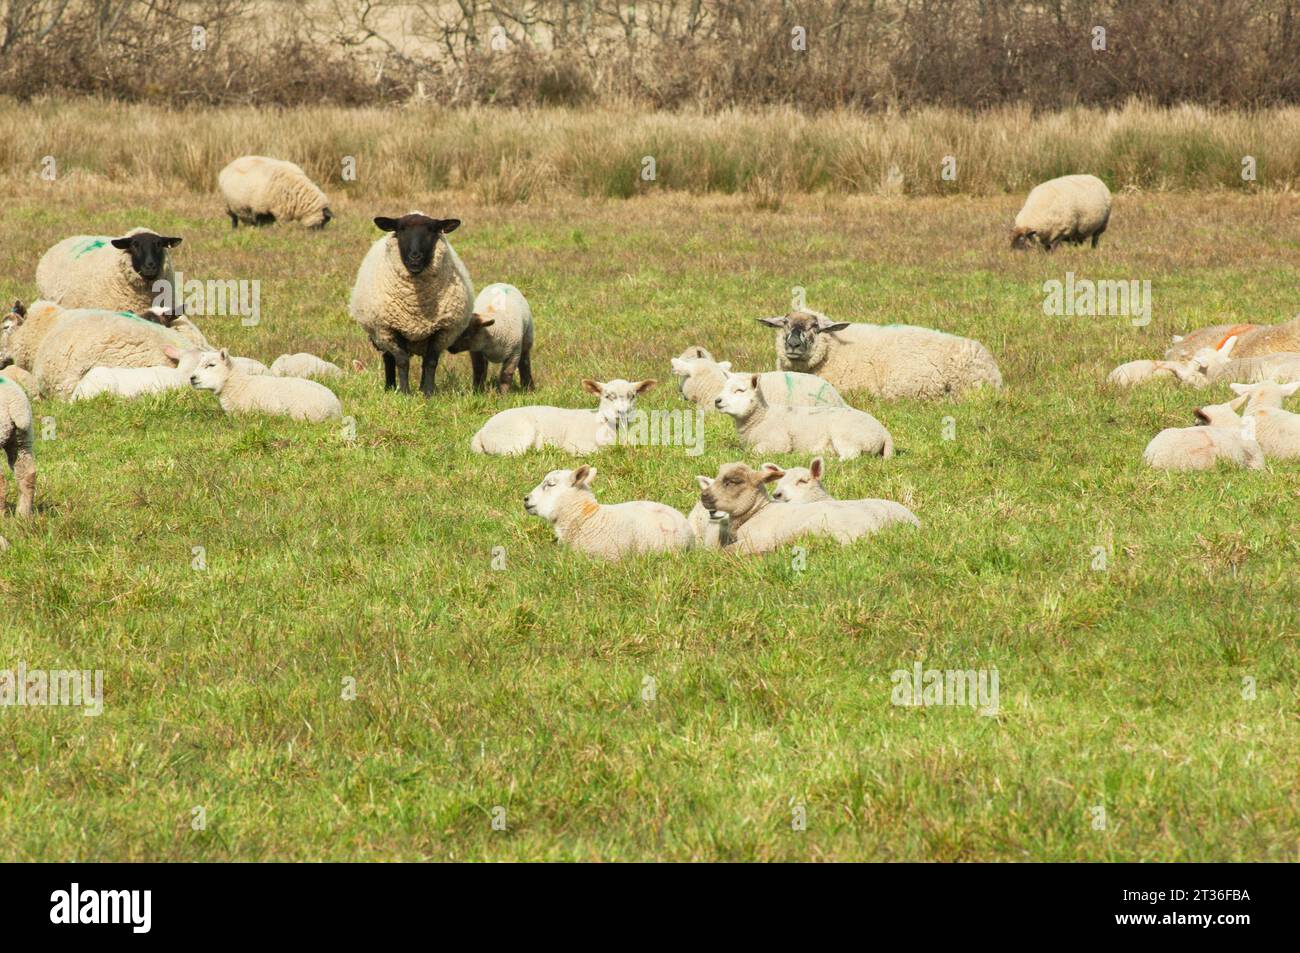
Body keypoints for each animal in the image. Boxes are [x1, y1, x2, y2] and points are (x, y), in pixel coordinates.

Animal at [349, 212, 474, 395]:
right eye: (401, 229)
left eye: (432, 230)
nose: (415, 257)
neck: (416, 306)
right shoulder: (389, 329)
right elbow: (401, 360)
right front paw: (404, 392)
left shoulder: (441, 330)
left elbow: (430, 361)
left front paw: (429, 392)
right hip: (380, 336)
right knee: (388, 358)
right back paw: (390, 387)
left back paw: (421, 388)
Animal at [471, 379, 655, 456]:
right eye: (608, 396)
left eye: (632, 396)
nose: (622, 412)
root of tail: (482, 431)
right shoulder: (577, 444)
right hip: (515, 436)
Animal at [714, 372, 893, 460]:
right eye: (723, 387)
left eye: (740, 390)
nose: (717, 400)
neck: (760, 418)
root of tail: (885, 433)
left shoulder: (778, 441)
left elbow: (755, 451)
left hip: (847, 435)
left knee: (851, 456)